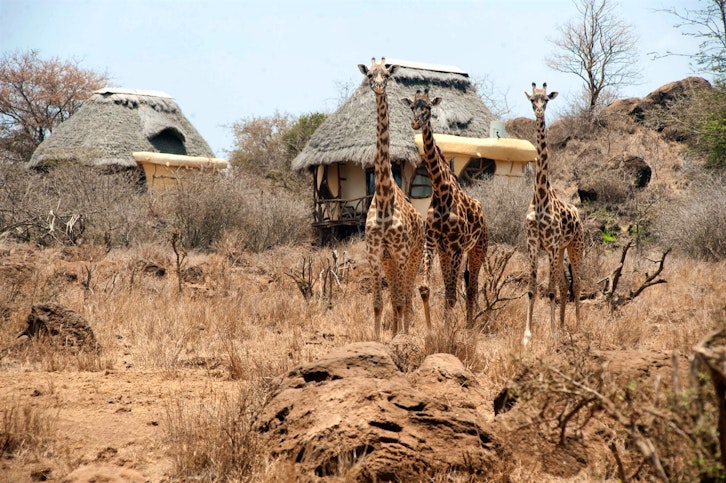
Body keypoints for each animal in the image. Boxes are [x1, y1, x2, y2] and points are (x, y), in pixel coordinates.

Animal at [401, 88, 488, 330]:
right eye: (412, 106)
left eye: (429, 107)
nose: (415, 122)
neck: (441, 191)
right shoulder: (433, 242)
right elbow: (425, 288)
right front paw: (434, 329)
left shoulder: (457, 246)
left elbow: (451, 294)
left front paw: (447, 331)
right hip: (446, 252)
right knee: (463, 286)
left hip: (478, 249)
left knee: (472, 287)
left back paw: (470, 327)